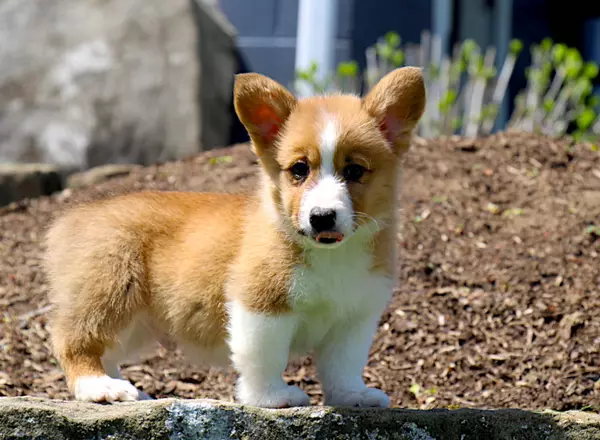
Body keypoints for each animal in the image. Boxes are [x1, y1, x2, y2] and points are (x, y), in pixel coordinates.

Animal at [43, 66, 426, 410]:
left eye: (355, 170)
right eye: (299, 169)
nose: (321, 217)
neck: (329, 255)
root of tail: (72, 218)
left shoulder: (353, 318)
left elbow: (343, 366)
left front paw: (353, 396)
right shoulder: (261, 304)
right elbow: (264, 357)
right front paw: (272, 397)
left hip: (137, 322)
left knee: (107, 349)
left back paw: (125, 389)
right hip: (109, 292)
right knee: (74, 341)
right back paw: (100, 387)